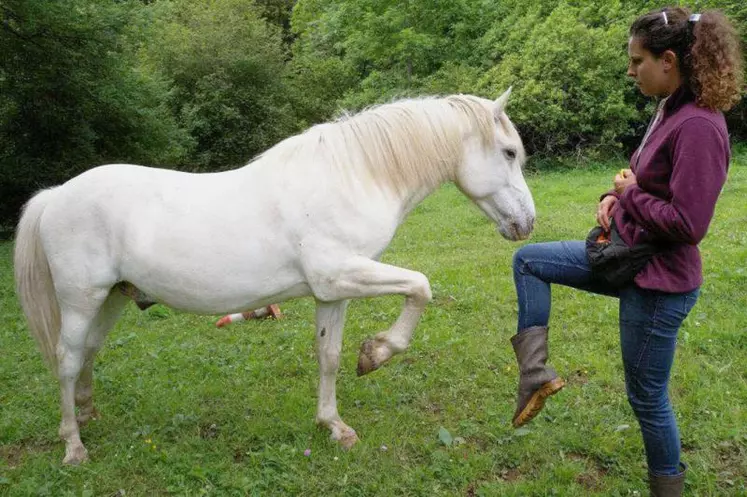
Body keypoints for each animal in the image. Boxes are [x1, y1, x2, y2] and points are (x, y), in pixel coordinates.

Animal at [14, 88, 536, 462]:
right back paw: (73, 445)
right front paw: (377, 353)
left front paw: (334, 425)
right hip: (82, 300)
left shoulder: (333, 292)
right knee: (66, 359)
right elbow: (420, 287)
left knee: (87, 354)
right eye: (509, 153)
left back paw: (88, 415)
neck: (352, 177)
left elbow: (328, 356)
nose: (527, 223)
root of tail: (56, 195)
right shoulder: (343, 274)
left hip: (112, 298)